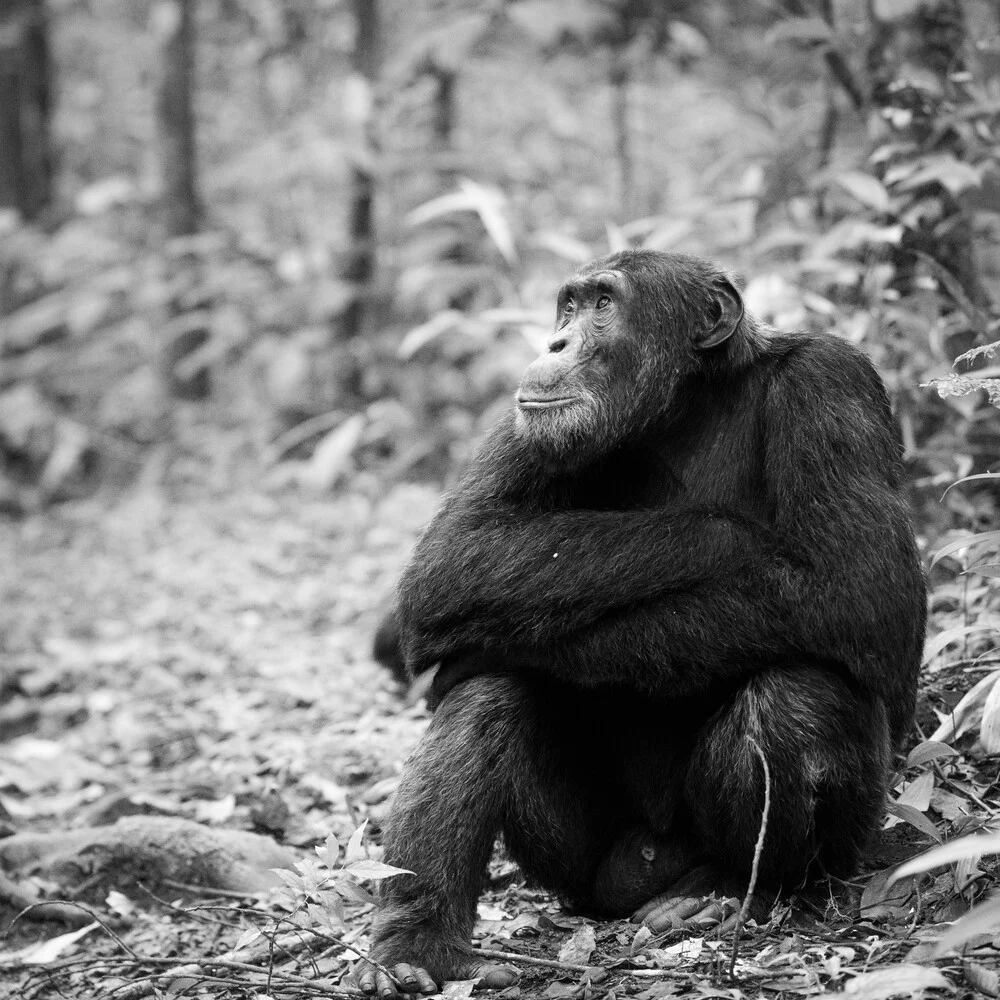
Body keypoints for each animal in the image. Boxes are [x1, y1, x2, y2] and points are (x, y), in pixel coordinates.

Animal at [356, 248, 924, 992]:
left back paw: (732, 889)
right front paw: (722, 534)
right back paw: (415, 944)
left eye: (604, 305)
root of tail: (645, 871)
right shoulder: (527, 426)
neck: (683, 410)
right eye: (569, 305)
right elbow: (454, 557)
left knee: (797, 695)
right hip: (581, 868)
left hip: (831, 846)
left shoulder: (833, 383)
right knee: (489, 695)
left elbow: (857, 589)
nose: (556, 342)